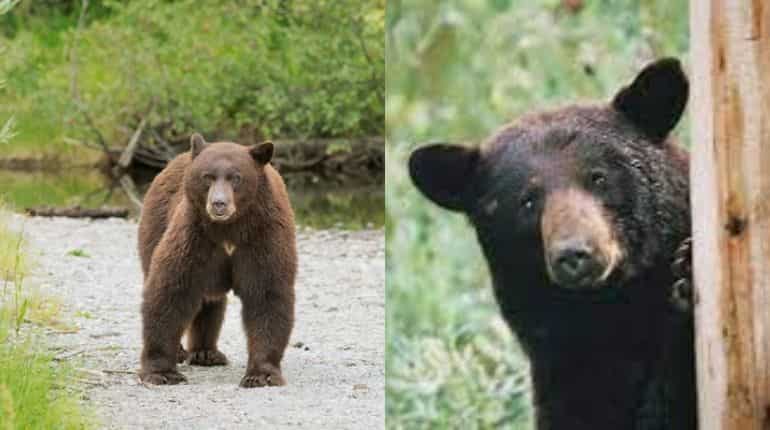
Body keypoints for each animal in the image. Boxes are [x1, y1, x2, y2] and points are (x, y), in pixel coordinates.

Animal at [137, 133, 297, 388]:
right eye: (207, 177)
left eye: (236, 177)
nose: (219, 203)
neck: (230, 229)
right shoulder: (195, 236)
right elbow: (171, 289)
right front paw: (162, 372)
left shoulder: (263, 237)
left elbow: (267, 295)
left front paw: (261, 374)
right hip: (156, 224)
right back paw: (185, 351)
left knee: (210, 301)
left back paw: (206, 352)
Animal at [408, 58, 695, 429]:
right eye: (527, 201)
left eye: (598, 177)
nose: (574, 254)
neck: (610, 311)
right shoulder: (563, 371)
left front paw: (688, 271)